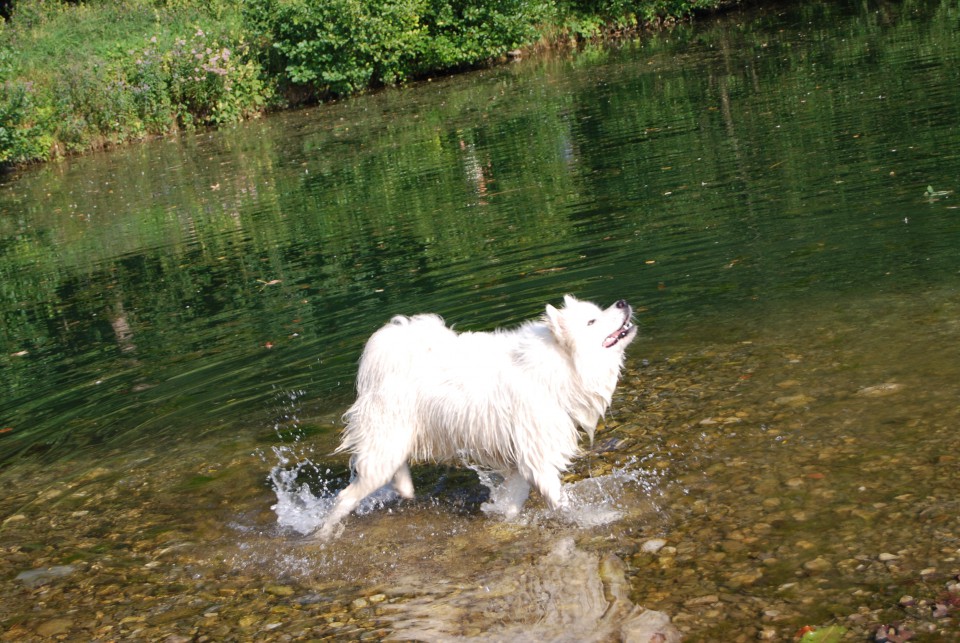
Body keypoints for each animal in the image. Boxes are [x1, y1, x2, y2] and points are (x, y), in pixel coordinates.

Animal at [316, 296, 636, 540]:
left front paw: (504, 519)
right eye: (591, 322)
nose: (622, 302)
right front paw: (593, 518)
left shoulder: (523, 459)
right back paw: (323, 533)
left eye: (597, 311)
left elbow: (511, 502)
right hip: (384, 451)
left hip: (395, 444)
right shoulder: (538, 458)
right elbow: (562, 501)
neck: (557, 367)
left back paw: (404, 488)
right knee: (345, 497)